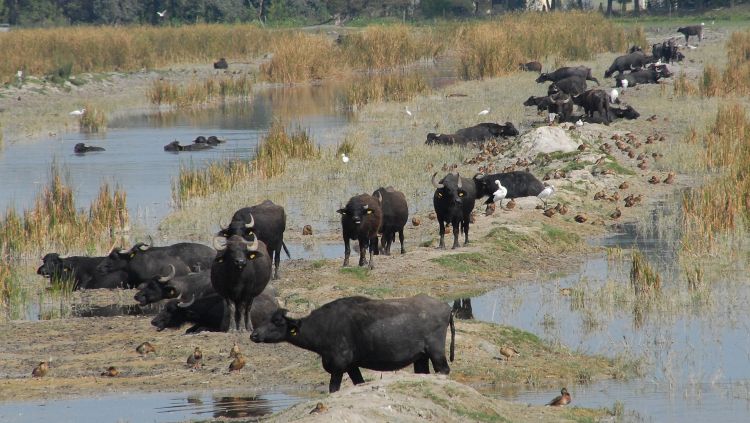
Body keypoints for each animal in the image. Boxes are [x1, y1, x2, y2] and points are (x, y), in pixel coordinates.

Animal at [151, 288, 280, 334]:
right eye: (164, 307)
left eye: (171, 310)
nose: (153, 321)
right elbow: (189, 329)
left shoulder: (218, 327)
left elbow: (200, 329)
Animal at [251, 294, 458, 394]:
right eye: (267, 318)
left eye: (277, 321)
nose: (254, 335)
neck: (322, 327)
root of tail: (447, 308)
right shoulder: (352, 366)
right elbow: (359, 382)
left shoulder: (338, 366)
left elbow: (333, 389)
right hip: (421, 357)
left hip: (436, 352)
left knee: (444, 370)